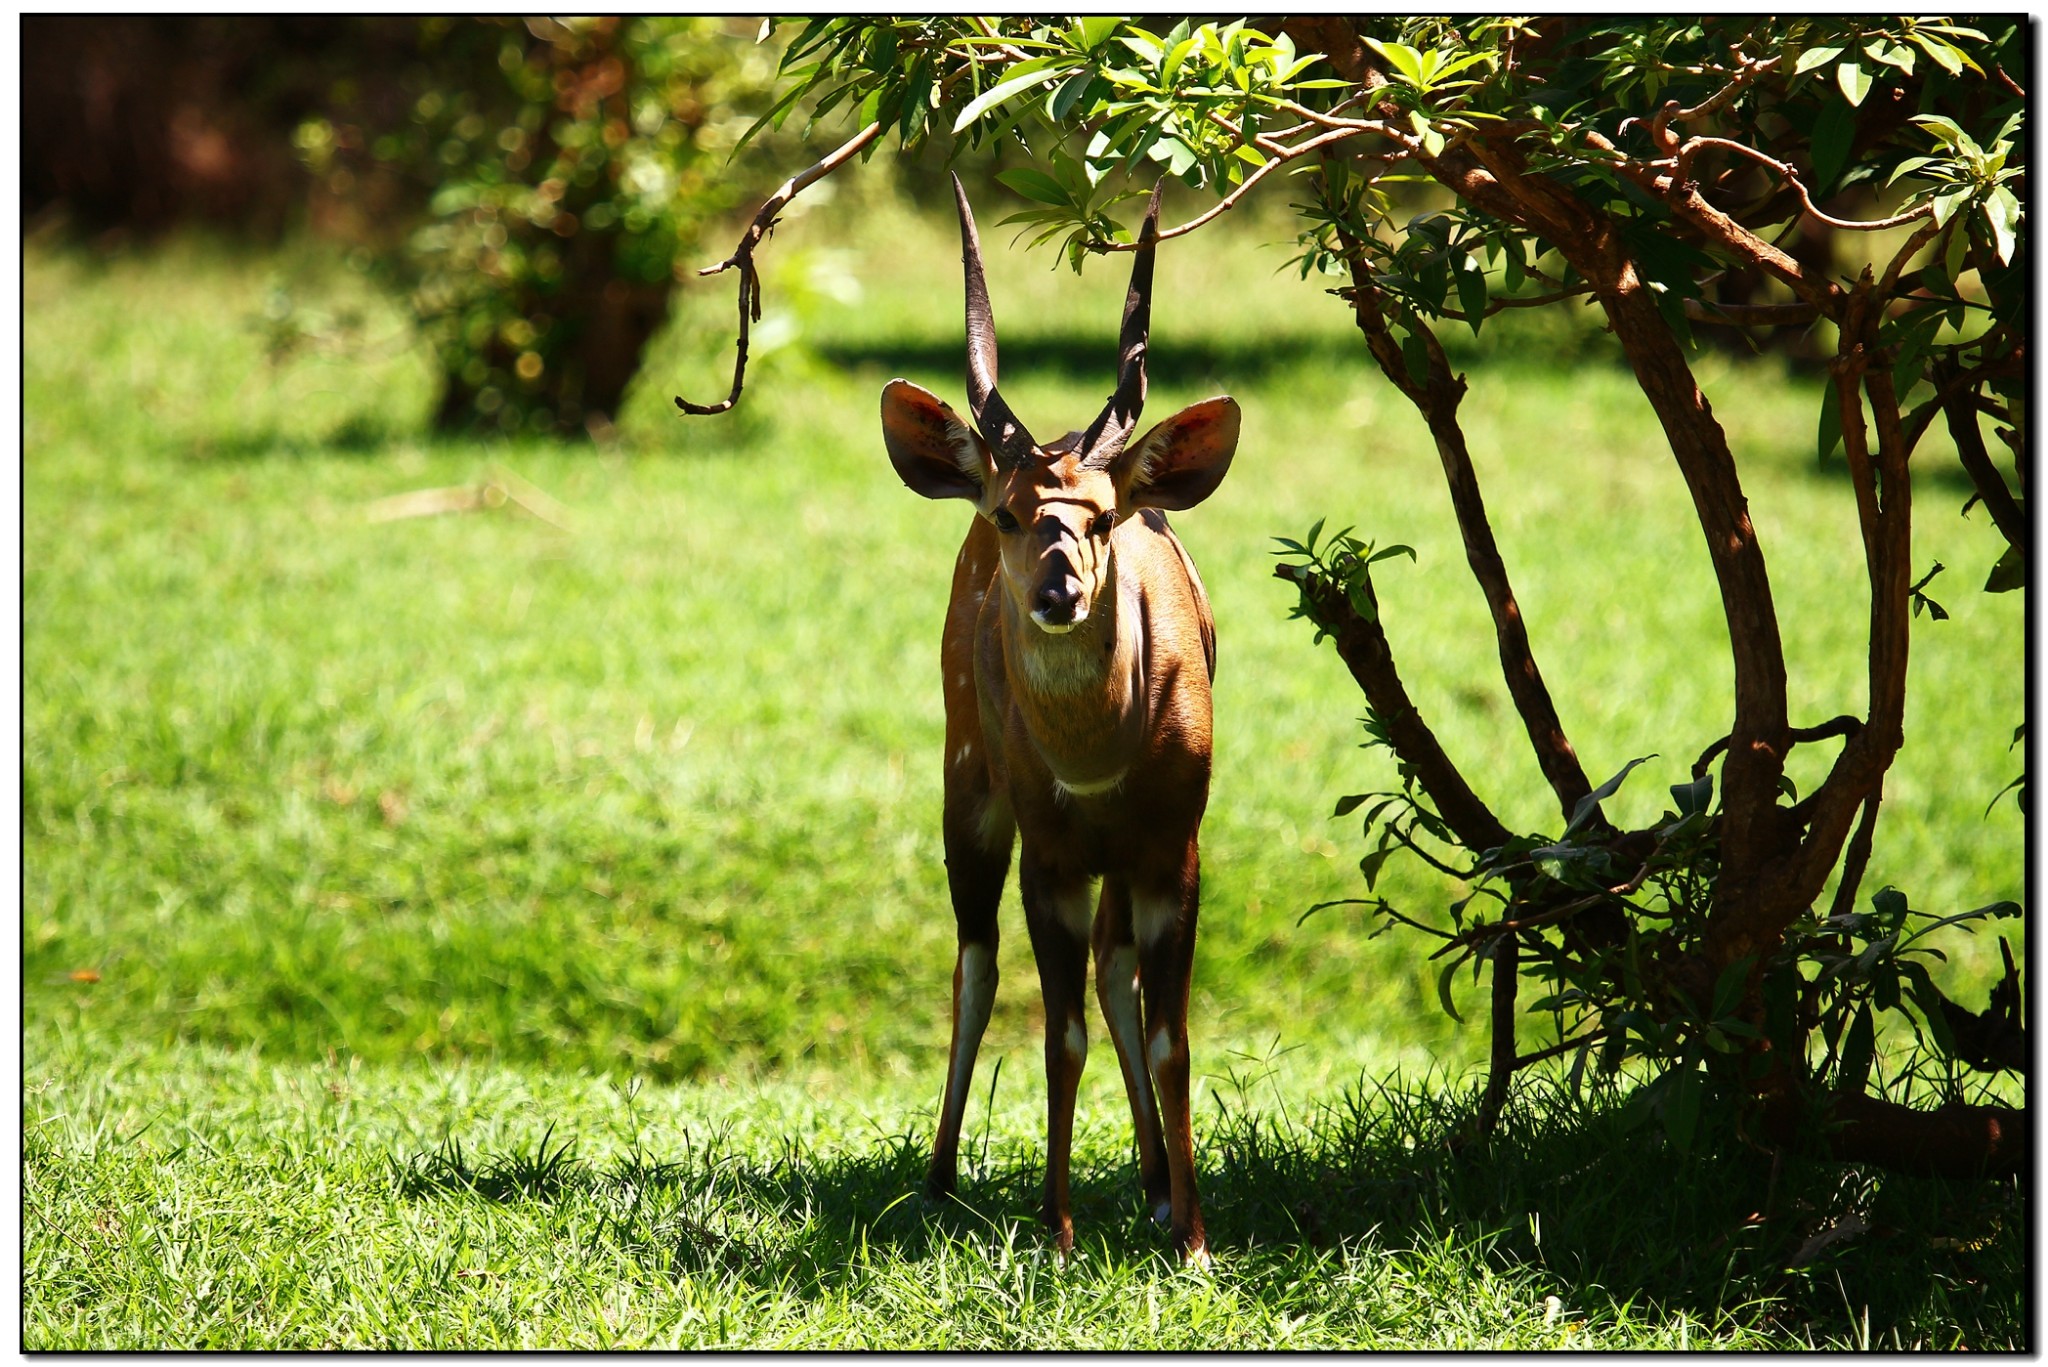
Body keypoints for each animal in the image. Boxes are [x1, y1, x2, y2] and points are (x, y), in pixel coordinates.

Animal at [876, 176, 1236, 1270]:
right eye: (1008, 511)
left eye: (1104, 514)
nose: (1057, 587)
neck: (1099, 762)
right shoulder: (1050, 847)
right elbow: (1056, 1028)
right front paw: (1058, 1226)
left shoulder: (1174, 843)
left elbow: (1168, 1030)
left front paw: (1193, 1235)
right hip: (967, 785)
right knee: (975, 956)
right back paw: (938, 1176)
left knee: (1113, 968)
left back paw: (1155, 1186)